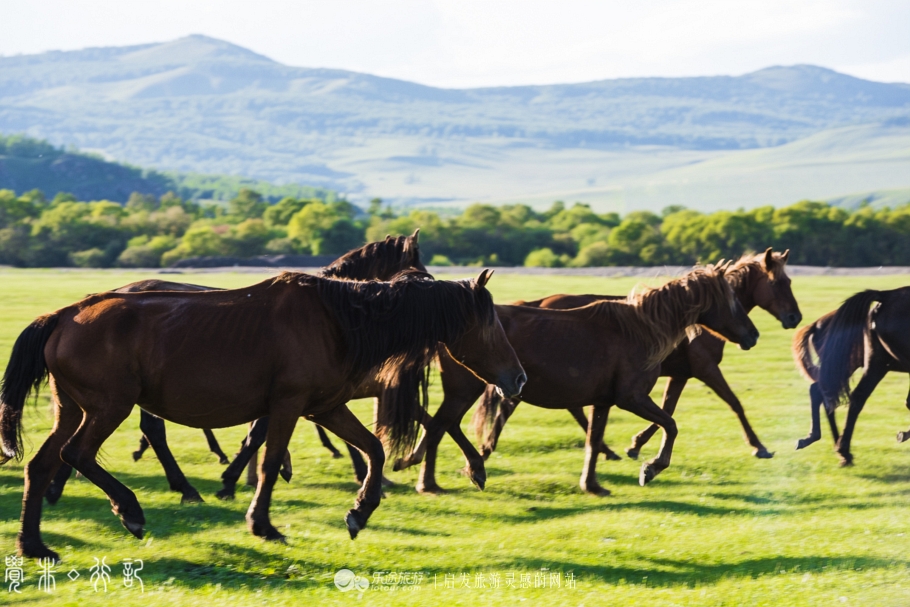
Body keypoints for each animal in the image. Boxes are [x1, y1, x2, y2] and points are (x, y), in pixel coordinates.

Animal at [0, 270, 526, 560]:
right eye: (491, 324)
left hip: (72, 409)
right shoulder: (288, 406)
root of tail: (63, 315)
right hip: (108, 407)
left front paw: (360, 511)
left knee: (42, 464)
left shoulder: (325, 407)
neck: (338, 320)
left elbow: (373, 450)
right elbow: (271, 463)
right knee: (77, 455)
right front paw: (263, 524)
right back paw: (129, 510)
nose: (519, 379)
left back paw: (34, 545)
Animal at [396, 263, 758, 494]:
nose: (753, 335)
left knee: (444, 424)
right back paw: (435, 480)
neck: (639, 329)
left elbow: (593, 440)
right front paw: (651, 468)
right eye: (732, 300)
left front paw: (593, 484)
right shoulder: (631, 398)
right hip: (465, 388)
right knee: (440, 425)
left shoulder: (603, 402)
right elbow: (670, 424)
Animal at [479, 248, 799, 461]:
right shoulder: (706, 369)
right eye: (780, 283)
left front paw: (636, 446)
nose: (795, 317)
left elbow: (668, 410)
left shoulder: (681, 375)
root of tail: (540, 302)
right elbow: (734, 404)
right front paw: (759, 446)